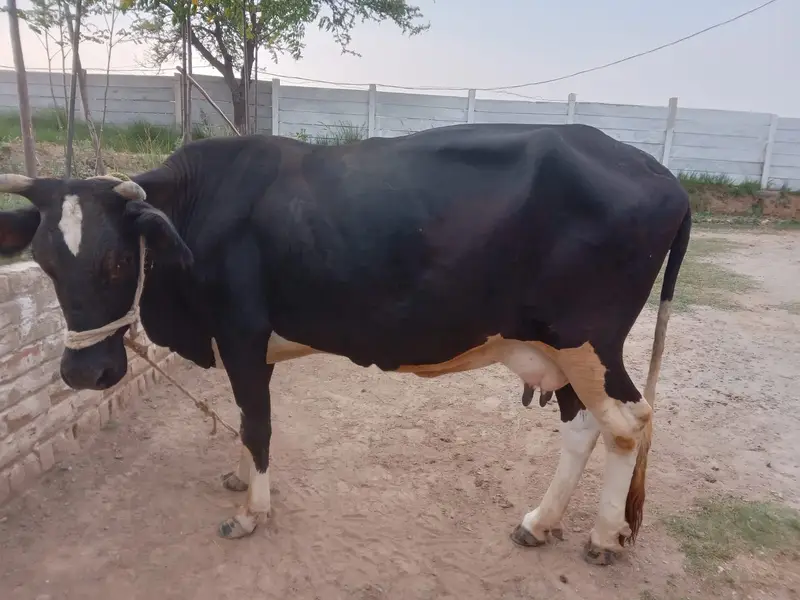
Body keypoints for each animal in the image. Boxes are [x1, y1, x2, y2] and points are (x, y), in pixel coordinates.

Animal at [0, 122, 690, 565]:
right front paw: (240, 479)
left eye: (118, 260)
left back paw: (603, 537)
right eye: (44, 262)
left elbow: (257, 424)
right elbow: (248, 421)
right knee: (584, 427)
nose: (83, 373)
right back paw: (540, 524)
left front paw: (252, 514)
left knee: (628, 423)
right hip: (559, 350)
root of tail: (659, 172)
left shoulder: (241, 333)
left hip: (588, 343)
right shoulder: (252, 349)